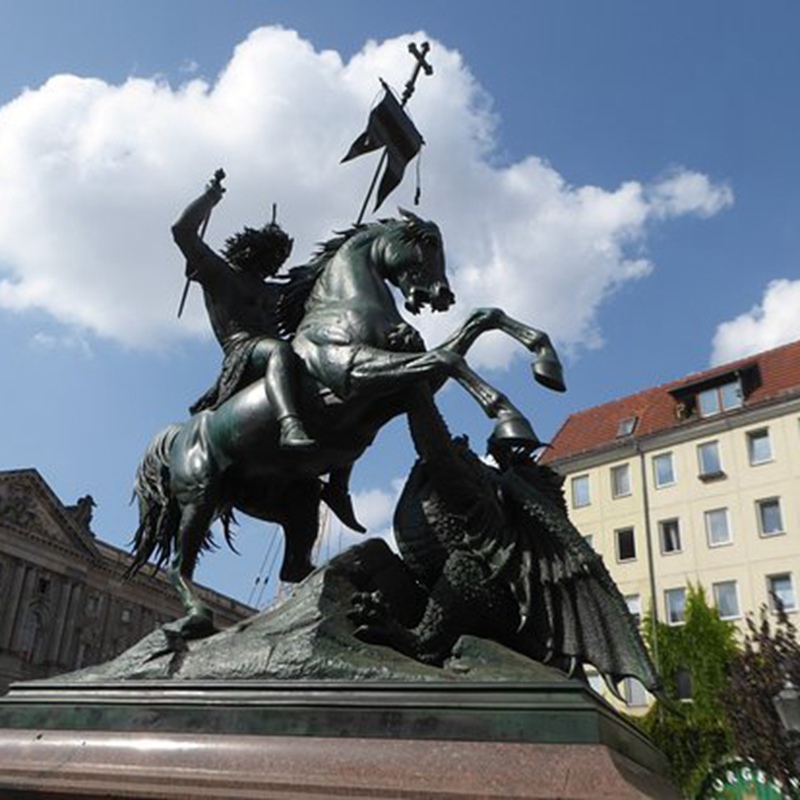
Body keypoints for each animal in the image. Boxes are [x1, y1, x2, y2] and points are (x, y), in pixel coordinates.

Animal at [130, 209, 564, 636]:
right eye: (427, 242)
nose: (443, 295)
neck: (345, 308)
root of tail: (178, 436)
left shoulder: (402, 384)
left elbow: (479, 321)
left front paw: (546, 362)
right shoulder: (356, 374)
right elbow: (449, 358)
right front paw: (511, 421)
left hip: (291, 501)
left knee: (296, 567)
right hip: (201, 495)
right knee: (179, 565)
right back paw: (196, 618)